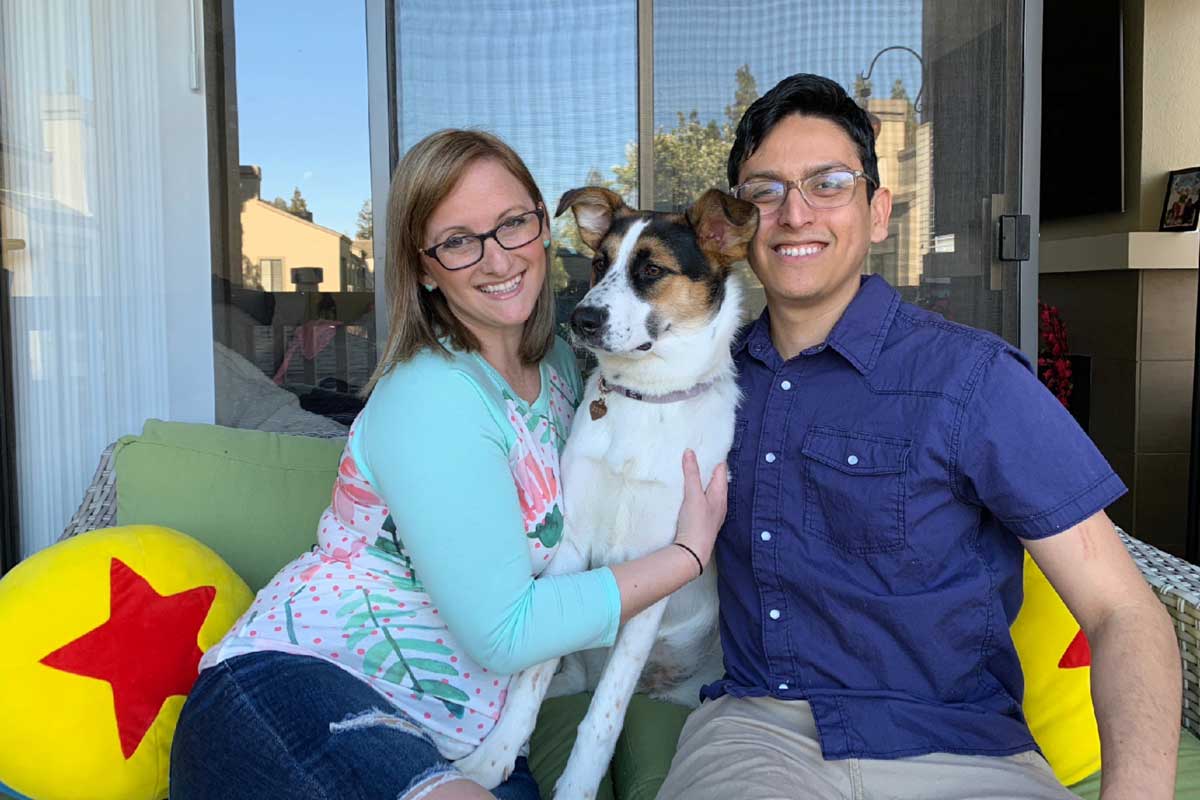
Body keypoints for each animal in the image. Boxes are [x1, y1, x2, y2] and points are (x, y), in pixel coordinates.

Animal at [453, 189, 753, 800]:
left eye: (652, 270)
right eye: (598, 263)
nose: (581, 319)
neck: (646, 401)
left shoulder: (662, 560)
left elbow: (604, 716)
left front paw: (575, 786)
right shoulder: (572, 547)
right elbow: (530, 677)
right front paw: (494, 757)